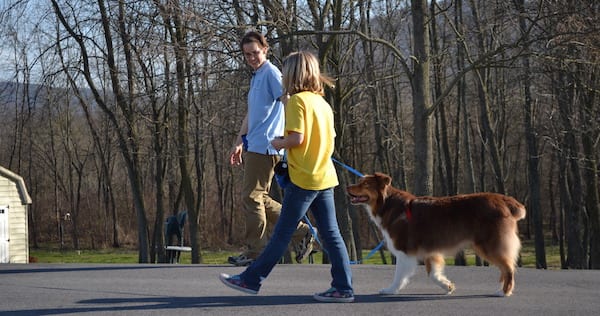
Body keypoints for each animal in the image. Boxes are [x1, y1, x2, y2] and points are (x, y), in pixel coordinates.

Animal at [346, 173, 524, 296]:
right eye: (360, 181)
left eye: (365, 184)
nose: (347, 187)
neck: (386, 204)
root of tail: (504, 200)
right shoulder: (430, 251)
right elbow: (433, 274)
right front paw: (447, 286)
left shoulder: (404, 251)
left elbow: (399, 275)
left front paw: (390, 290)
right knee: (505, 267)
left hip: (488, 244)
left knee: (508, 267)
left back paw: (503, 292)